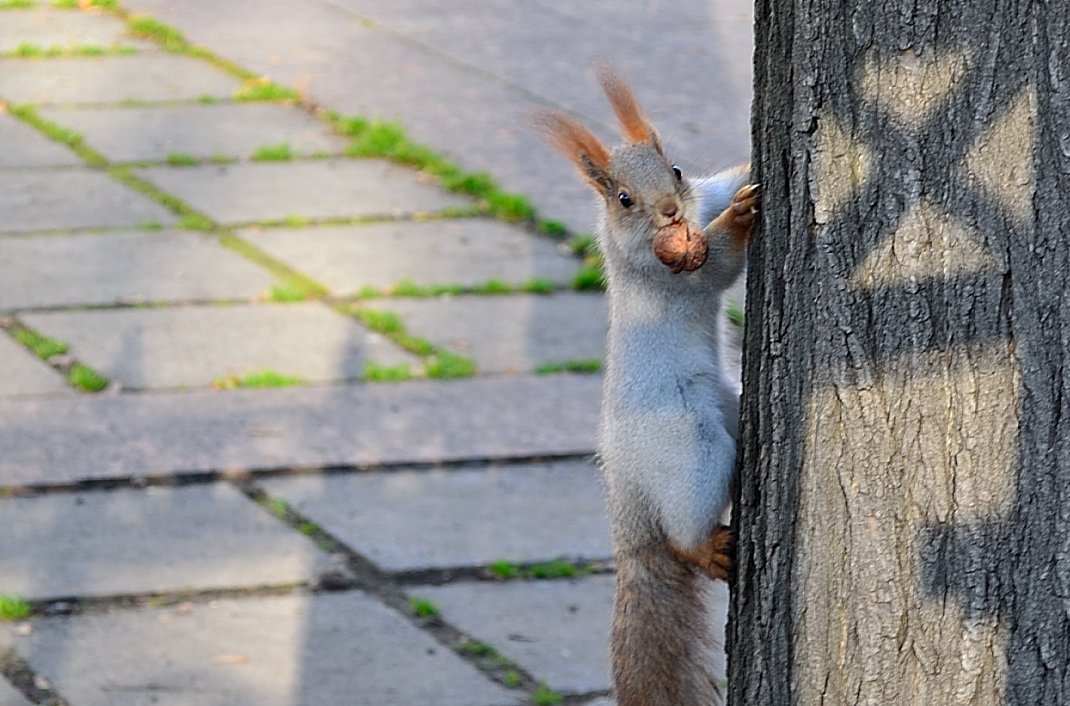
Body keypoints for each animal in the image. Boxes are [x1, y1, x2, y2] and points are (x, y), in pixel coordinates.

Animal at [532, 67, 753, 706]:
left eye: (674, 169)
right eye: (624, 199)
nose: (671, 211)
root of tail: (625, 494)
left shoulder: (703, 192)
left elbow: (723, 184)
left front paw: (746, 180)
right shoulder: (658, 272)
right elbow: (716, 265)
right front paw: (739, 220)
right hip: (688, 442)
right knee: (682, 536)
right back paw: (703, 546)